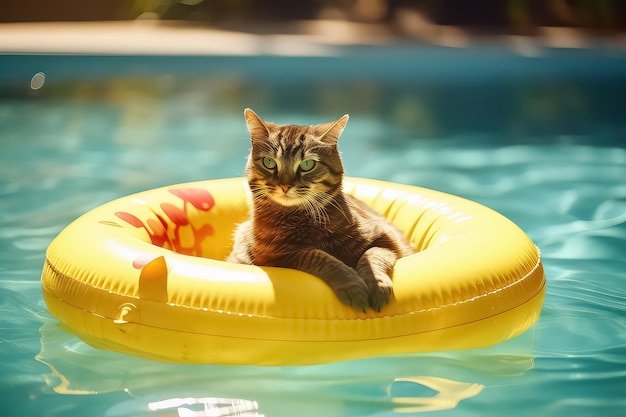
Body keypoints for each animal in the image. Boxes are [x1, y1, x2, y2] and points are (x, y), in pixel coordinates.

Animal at [227, 109, 412, 310]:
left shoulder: (388, 240)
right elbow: (318, 256)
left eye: (307, 165)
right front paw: (352, 284)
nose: (285, 185)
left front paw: (376, 285)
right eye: (269, 162)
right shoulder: (275, 256)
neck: (299, 217)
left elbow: (371, 255)